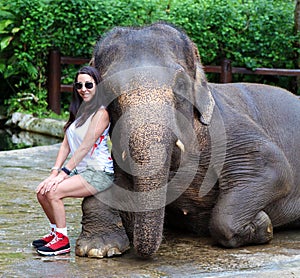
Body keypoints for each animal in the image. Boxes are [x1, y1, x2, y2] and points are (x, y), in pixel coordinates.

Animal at [75, 21, 300, 258]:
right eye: (108, 89)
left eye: (181, 84)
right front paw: (97, 248)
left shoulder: (228, 128)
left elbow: (275, 168)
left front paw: (264, 224)